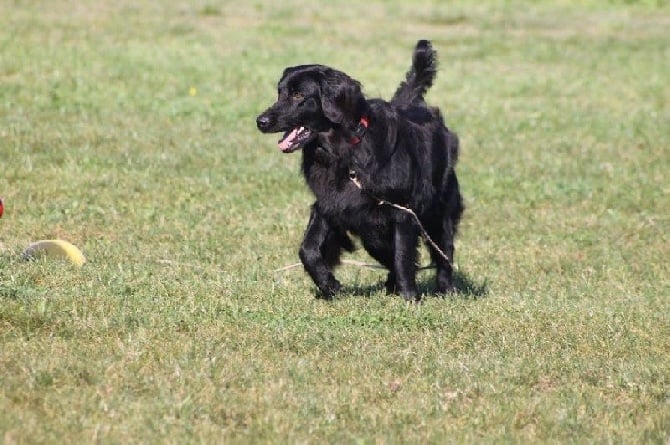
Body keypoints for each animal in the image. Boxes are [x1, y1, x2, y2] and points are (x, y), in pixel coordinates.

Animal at [258, 40, 468, 300]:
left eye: (298, 95)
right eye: (280, 92)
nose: (260, 121)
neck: (345, 153)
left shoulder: (402, 212)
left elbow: (403, 257)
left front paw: (410, 298)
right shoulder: (330, 204)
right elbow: (307, 249)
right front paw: (330, 286)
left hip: (438, 212)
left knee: (444, 250)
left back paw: (446, 289)